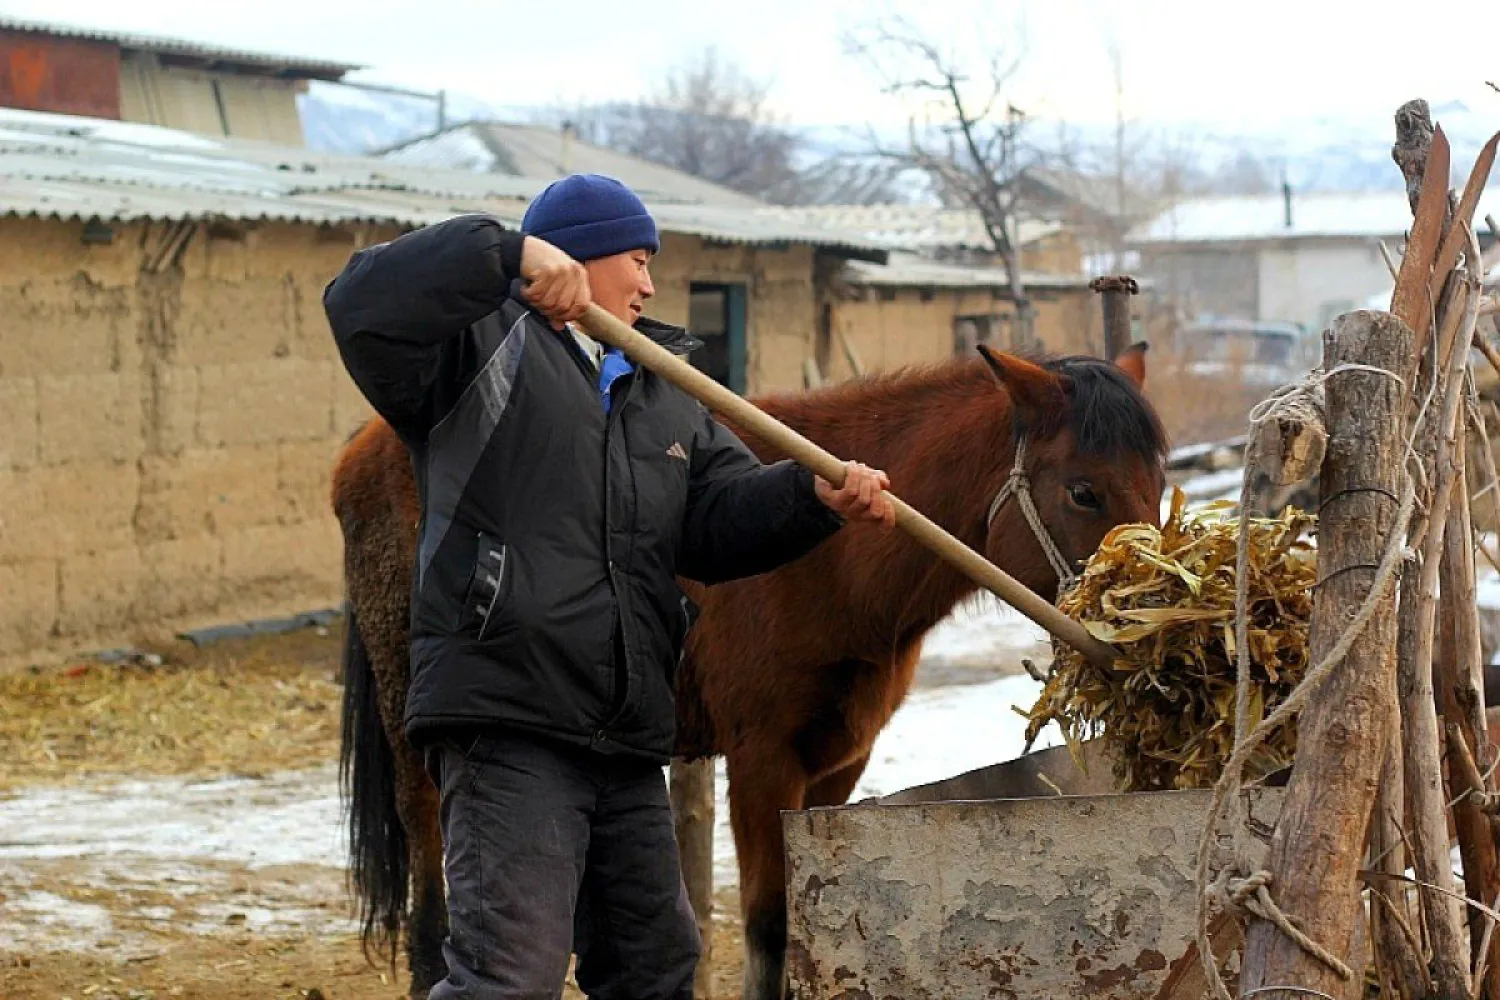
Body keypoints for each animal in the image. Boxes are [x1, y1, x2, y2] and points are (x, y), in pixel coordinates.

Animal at [331, 340, 1170, 995]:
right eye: (1084, 491)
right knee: (426, 852)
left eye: (1159, 488)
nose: (1143, 640)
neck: (836, 564)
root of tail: (364, 448)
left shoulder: (839, 760)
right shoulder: (761, 757)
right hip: (415, 730)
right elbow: (770, 925)